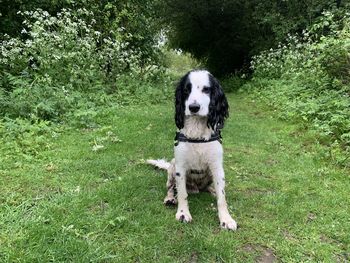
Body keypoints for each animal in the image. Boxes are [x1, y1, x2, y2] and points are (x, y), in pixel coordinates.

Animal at [146, 69, 237, 231]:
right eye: (186, 90)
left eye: (206, 89)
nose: (193, 107)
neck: (197, 132)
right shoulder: (180, 167)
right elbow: (182, 194)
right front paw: (183, 213)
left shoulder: (217, 167)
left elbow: (222, 197)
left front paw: (226, 219)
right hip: (172, 166)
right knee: (171, 188)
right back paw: (170, 198)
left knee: (209, 188)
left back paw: (211, 191)